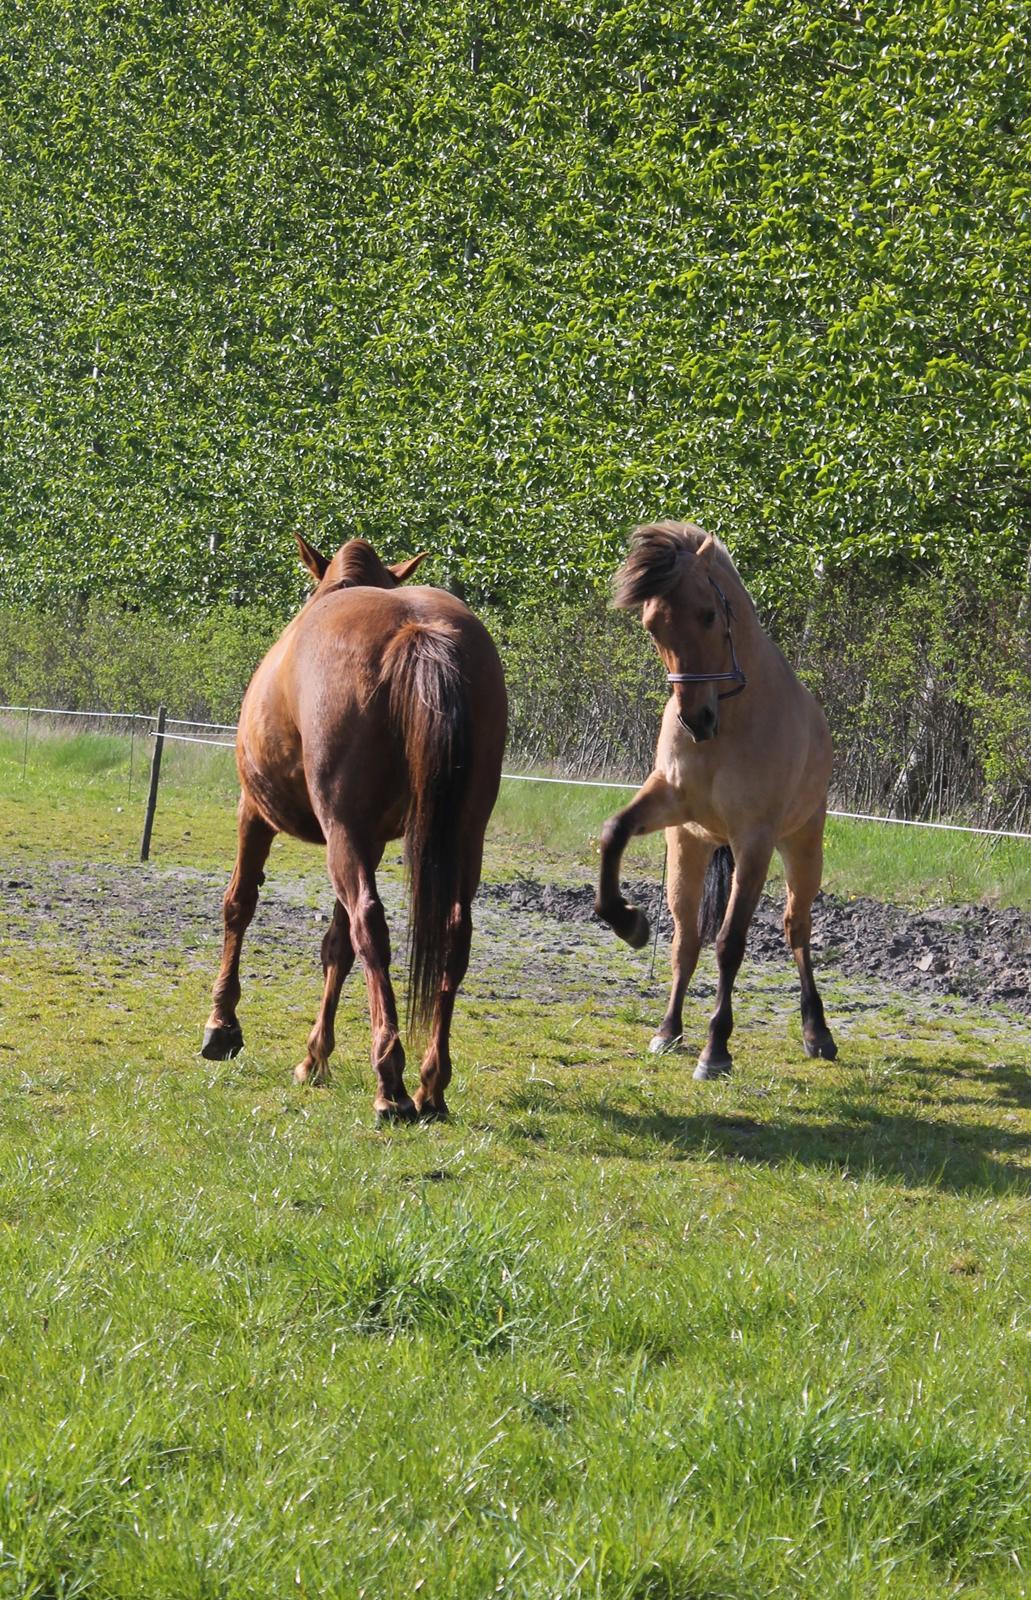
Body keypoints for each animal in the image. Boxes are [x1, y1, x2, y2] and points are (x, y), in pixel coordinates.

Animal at [201, 537, 505, 1126]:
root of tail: (417, 630)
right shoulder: (370, 839)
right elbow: (336, 947)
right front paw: (314, 1057)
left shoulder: (257, 812)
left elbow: (239, 905)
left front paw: (221, 1027)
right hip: (460, 834)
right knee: (452, 935)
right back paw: (431, 1084)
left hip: (341, 832)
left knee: (371, 925)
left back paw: (391, 1080)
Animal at [595, 518, 838, 1081]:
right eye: (652, 626)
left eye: (708, 615)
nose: (697, 720)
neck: (734, 721)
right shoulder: (673, 808)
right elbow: (614, 832)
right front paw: (627, 921)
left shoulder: (755, 841)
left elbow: (731, 943)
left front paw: (717, 1050)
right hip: (690, 847)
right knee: (685, 938)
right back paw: (668, 1030)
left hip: (802, 846)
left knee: (797, 928)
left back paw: (817, 1032)